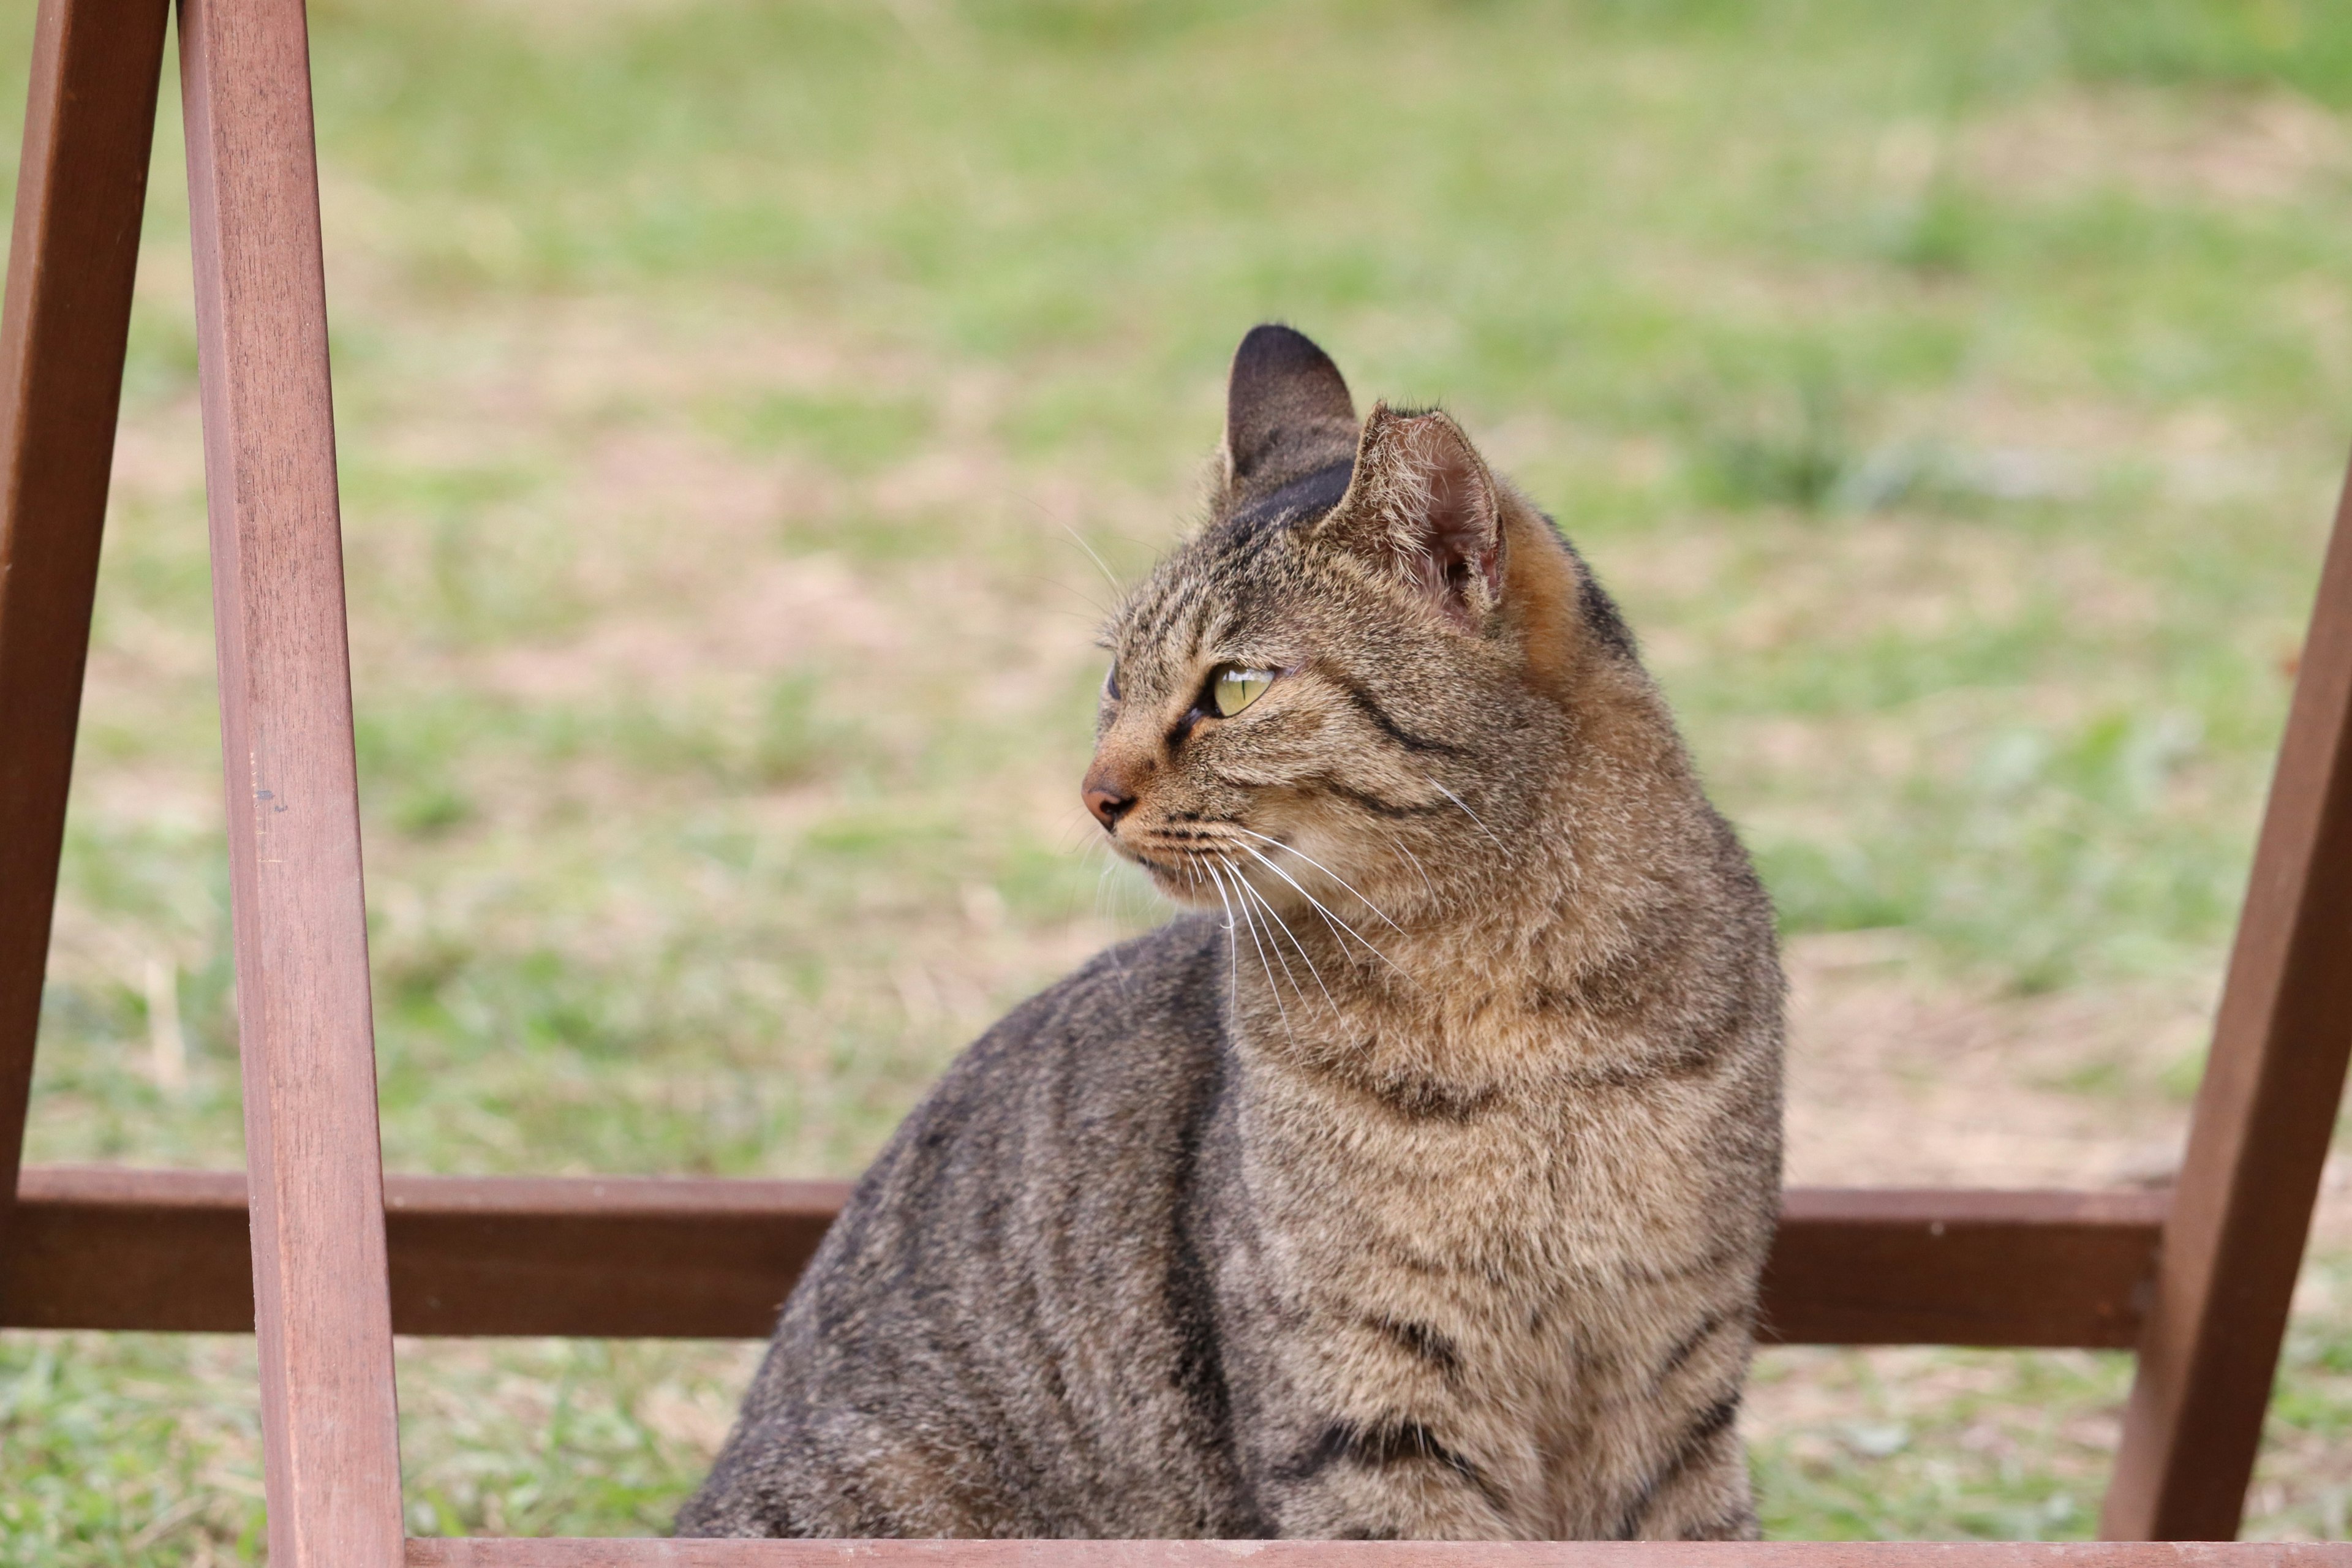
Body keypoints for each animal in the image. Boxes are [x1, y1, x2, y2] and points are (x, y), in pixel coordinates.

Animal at [682, 324, 1778, 1542]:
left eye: (1239, 688)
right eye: (1117, 678)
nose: (1092, 793)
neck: (1506, 995)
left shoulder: (1678, 1372)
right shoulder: (1369, 1403)